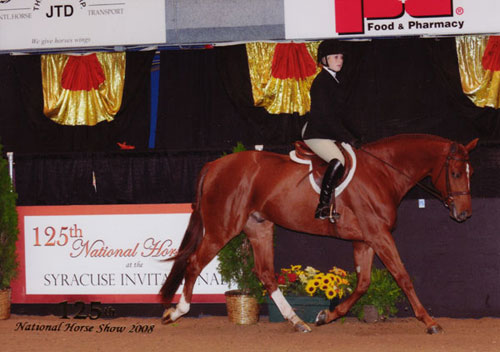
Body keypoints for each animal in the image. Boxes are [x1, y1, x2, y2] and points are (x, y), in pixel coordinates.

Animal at [162, 134, 478, 332]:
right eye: (455, 174)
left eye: (470, 173)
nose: (464, 215)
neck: (382, 173)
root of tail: (214, 164)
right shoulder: (378, 235)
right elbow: (402, 276)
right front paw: (429, 321)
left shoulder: (364, 240)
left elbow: (363, 283)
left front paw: (327, 315)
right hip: (222, 228)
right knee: (194, 263)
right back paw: (177, 311)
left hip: (259, 227)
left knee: (265, 273)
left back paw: (297, 322)